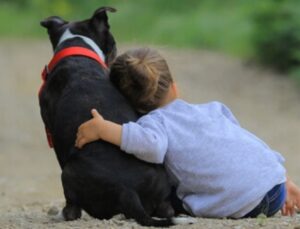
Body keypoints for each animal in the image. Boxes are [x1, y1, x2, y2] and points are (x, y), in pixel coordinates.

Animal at [39, 6, 176, 226]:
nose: (115, 51)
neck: (76, 46)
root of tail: (127, 190)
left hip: (68, 173)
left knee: (73, 209)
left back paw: (63, 214)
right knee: (166, 209)